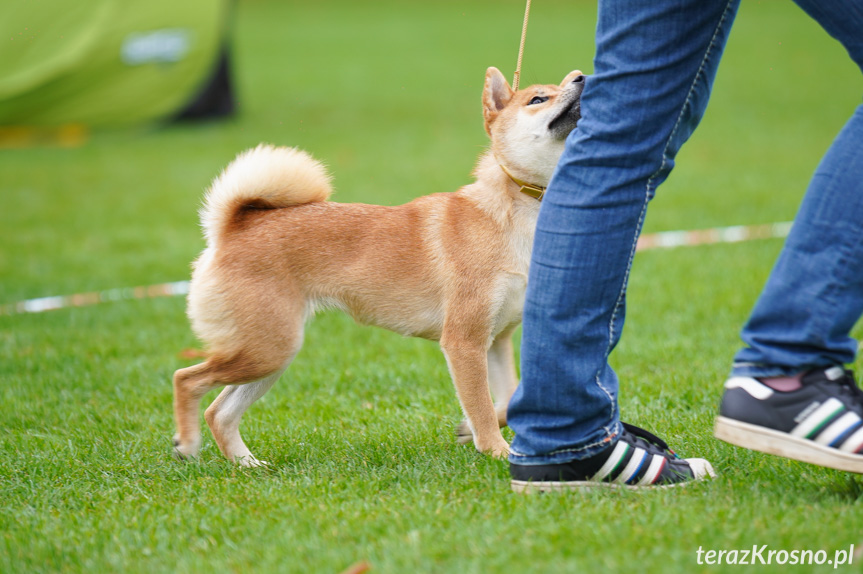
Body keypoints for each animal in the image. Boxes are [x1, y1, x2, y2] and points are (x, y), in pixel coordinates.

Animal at [169, 67, 588, 466]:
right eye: (538, 98)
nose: (584, 78)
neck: (515, 211)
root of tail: (234, 227)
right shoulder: (464, 342)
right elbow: (483, 407)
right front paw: (496, 451)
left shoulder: (496, 341)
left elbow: (506, 400)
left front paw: (469, 429)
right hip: (267, 348)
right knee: (186, 379)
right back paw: (188, 444)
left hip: (272, 354)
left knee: (219, 413)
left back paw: (247, 464)